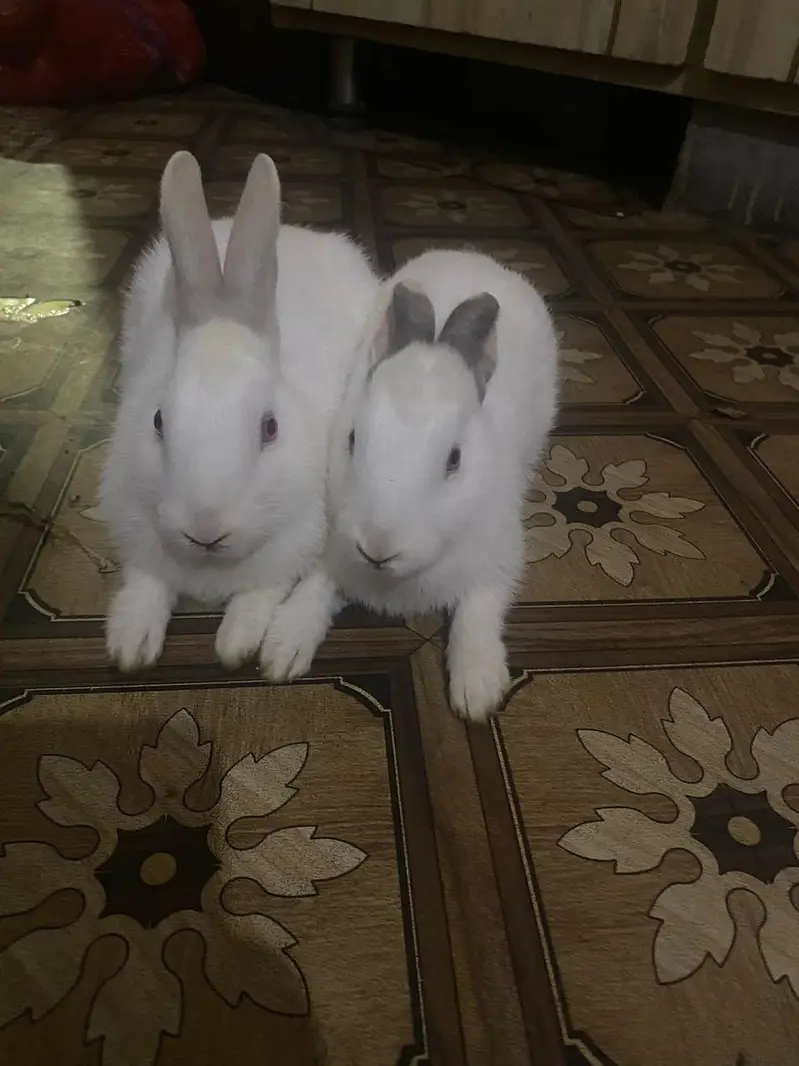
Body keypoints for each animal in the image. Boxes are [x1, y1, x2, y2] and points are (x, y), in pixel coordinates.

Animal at [101, 150, 379, 672]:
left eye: (270, 428)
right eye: (158, 421)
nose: (205, 529)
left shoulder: (294, 546)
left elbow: (262, 595)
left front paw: (239, 643)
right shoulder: (135, 529)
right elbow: (147, 583)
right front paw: (130, 645)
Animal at [261, 248, 559, 721]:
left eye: (455, 459)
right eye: (351, 439)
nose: (378, 547)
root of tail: (471, 255)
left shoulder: (497, 557)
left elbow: (479, 609)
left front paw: (477, 690)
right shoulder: (333, 549)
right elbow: (316, 586)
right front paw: (285, 646)